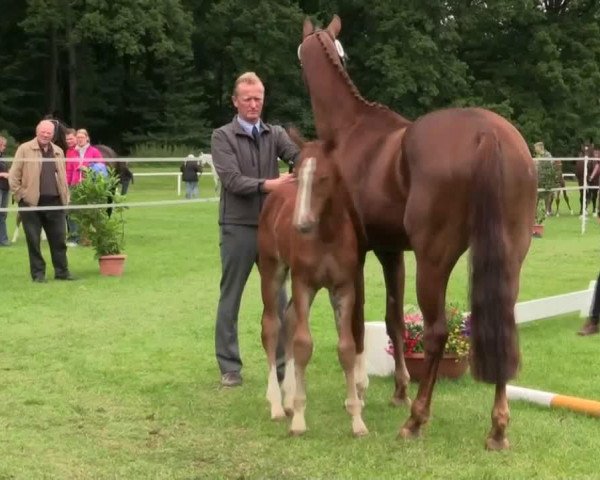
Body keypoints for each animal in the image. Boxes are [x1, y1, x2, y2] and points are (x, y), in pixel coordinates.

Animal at [255, 133, 368, 436]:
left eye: (324, 177)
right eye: (297, 174)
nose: (301, 224)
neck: (327, 235)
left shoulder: (343, 288)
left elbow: (347, 348)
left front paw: (357, 419)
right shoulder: (303, 283)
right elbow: (303, 344)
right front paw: (298, 420)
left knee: (290, 318)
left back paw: (287, 397)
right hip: (272, 270)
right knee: (272, 325)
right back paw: (277, 404)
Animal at [302, 15, 536, 450]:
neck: (352, 131)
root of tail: (489, 134)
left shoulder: (360, 252)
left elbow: (358, 321)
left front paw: (363, 391)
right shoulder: (390, 250)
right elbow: (393, 319)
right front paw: (397, 389)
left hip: (434, 258)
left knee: (436, 331)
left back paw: (416, 419)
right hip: (511, 254)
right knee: (501, 322)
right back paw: (497, 428)